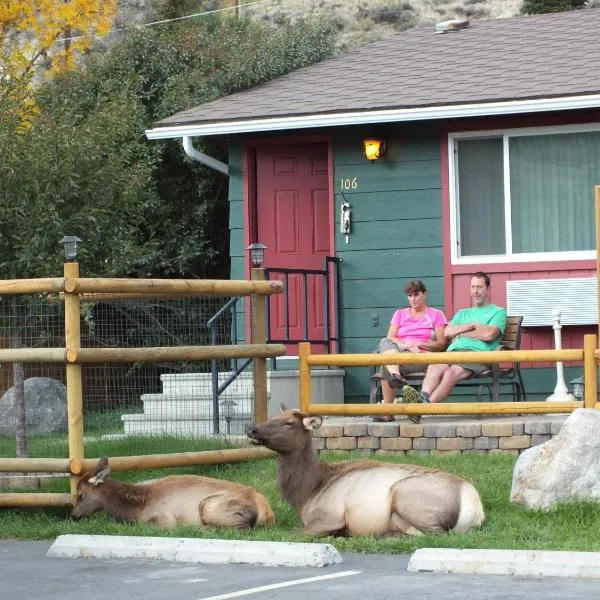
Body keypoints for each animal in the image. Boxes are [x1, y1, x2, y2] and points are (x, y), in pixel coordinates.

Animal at [246, 408, 486, 540]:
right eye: (273, 416)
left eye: (288, 423)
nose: (251, 428)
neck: (306, 494)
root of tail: (475, 509)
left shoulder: (329, 516)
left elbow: (287, 534)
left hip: (405, 494)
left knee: (435, 534)